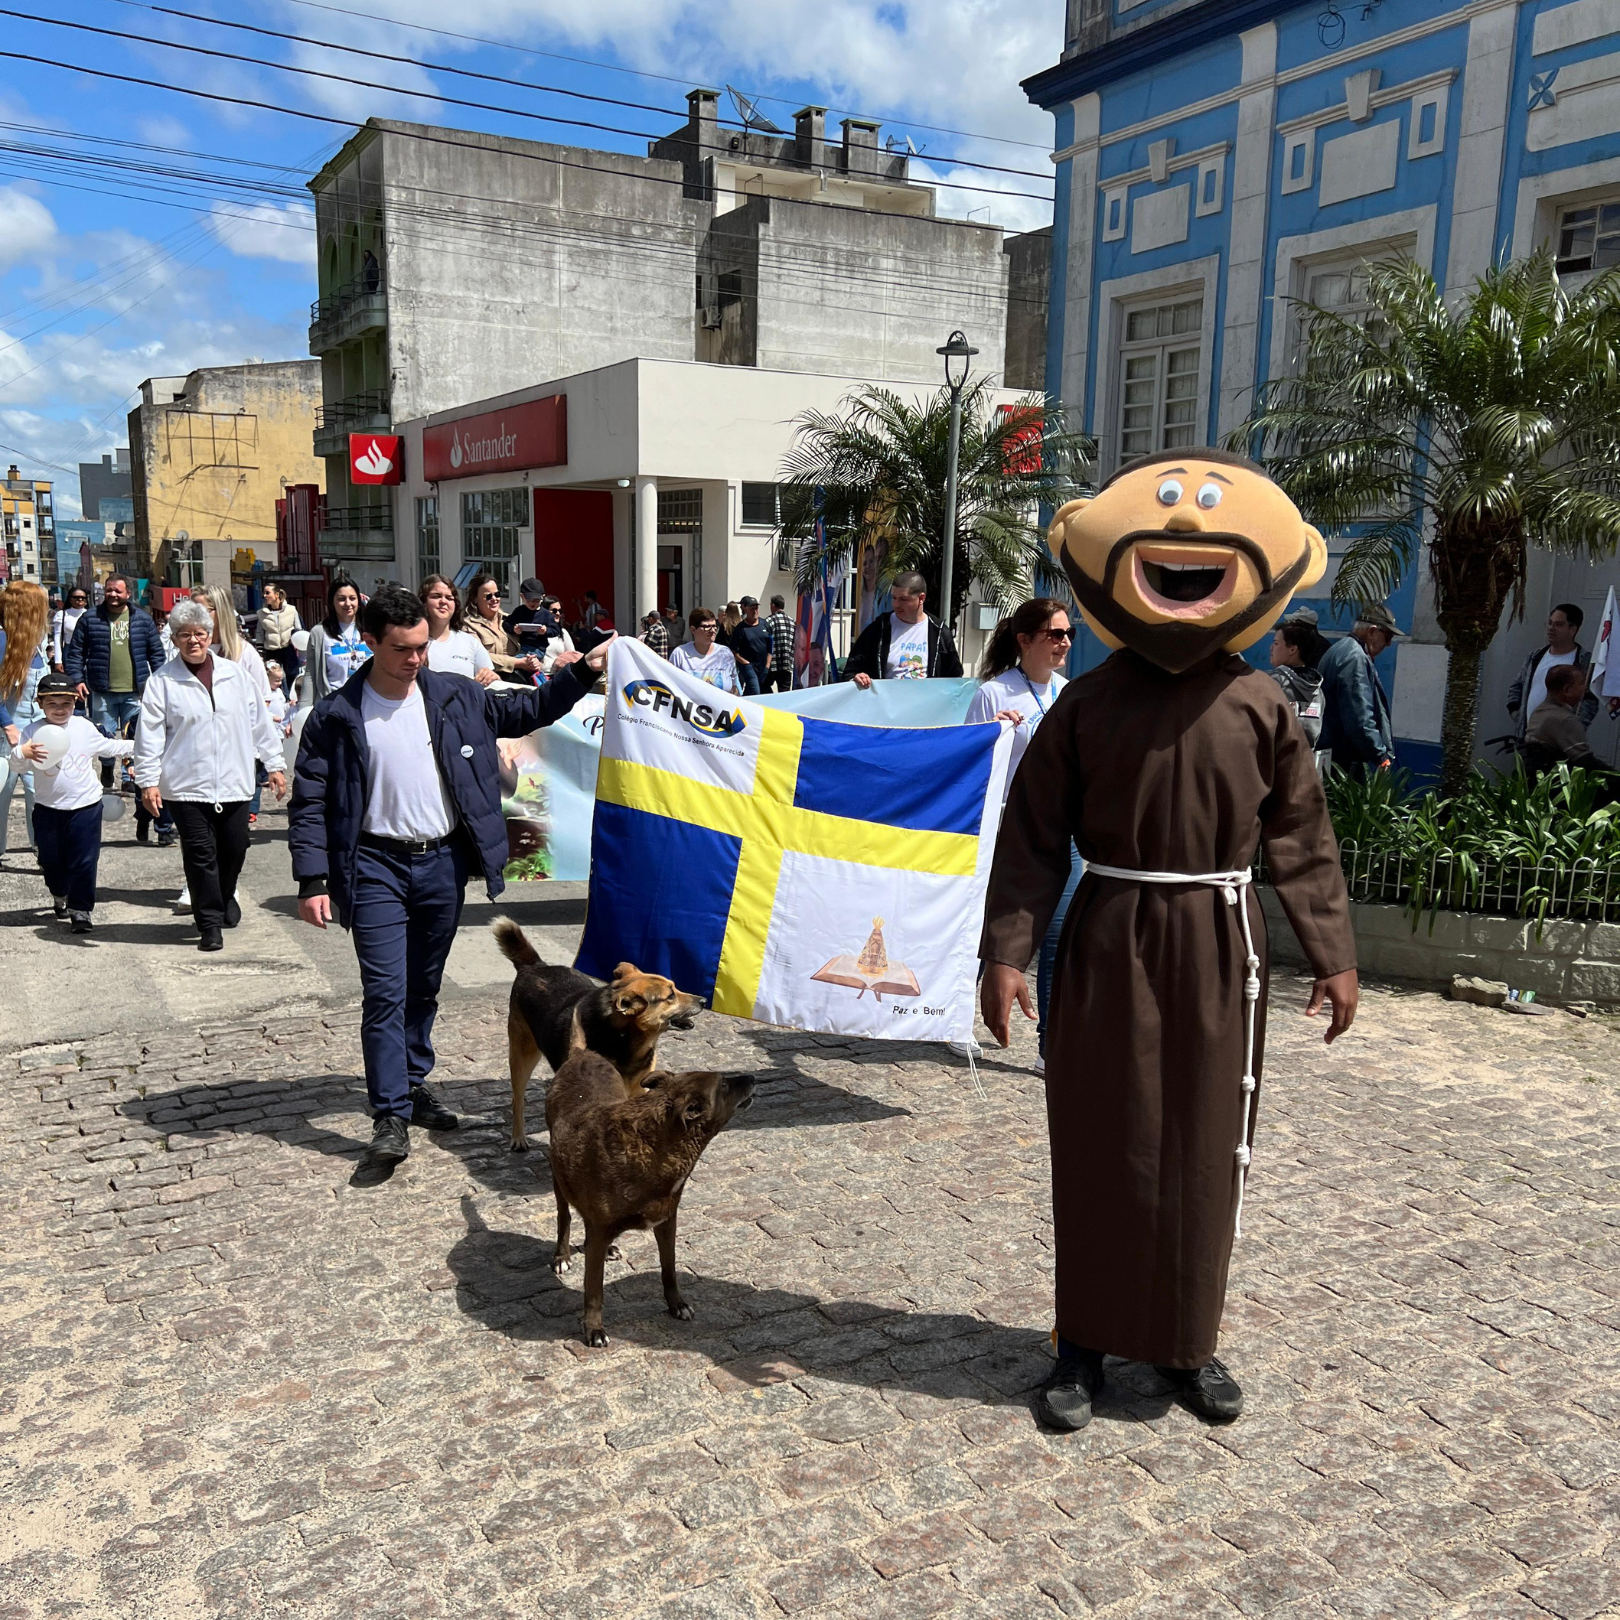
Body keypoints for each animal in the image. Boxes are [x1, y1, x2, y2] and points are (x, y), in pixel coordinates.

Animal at [486, 926, 703, 1153]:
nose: (704, 1001)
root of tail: (535, 965)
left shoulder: (638, 1088)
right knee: (517, 1100)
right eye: (670, 996)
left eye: (675, 988)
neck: (626, 1040)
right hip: (522, 1055)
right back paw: (518, 1137)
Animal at [541, 1049, 748, 1341]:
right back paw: (562, 1256)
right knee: (565, 1216)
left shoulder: (666, 1221)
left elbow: (669, 1269)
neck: (654, 1147)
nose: (753, 1077)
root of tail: (584, 1054)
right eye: (725, 1084)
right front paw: (594, 1328)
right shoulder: (602, 1227)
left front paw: (677, 1305)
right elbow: (594, 1290)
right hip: (558, 1176)